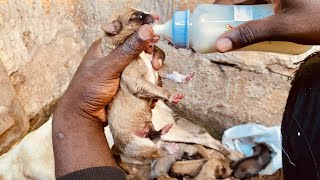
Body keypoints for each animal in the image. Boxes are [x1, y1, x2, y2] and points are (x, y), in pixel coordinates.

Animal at [101, 7, 194, 162]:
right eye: (138, 17)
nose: (156, 16)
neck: (143, 53)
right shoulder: (136, 80)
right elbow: (158, 89)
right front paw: (171, 96)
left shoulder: (158, 67)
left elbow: (171, 72)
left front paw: (184, 78)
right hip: (138, 145)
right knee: (156, 152)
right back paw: (169, 148)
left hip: (149, 125)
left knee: (154, 136)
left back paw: (163, 131)